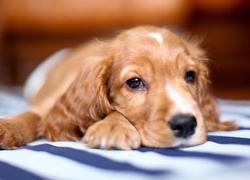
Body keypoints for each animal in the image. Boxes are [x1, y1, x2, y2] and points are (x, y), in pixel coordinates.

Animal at [0, 26, 238, 150]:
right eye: (134, 82)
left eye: (190, 76)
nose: (186, 124)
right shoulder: (51, 105)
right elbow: (32, 115)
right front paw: (8, 127)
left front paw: (111, 127)